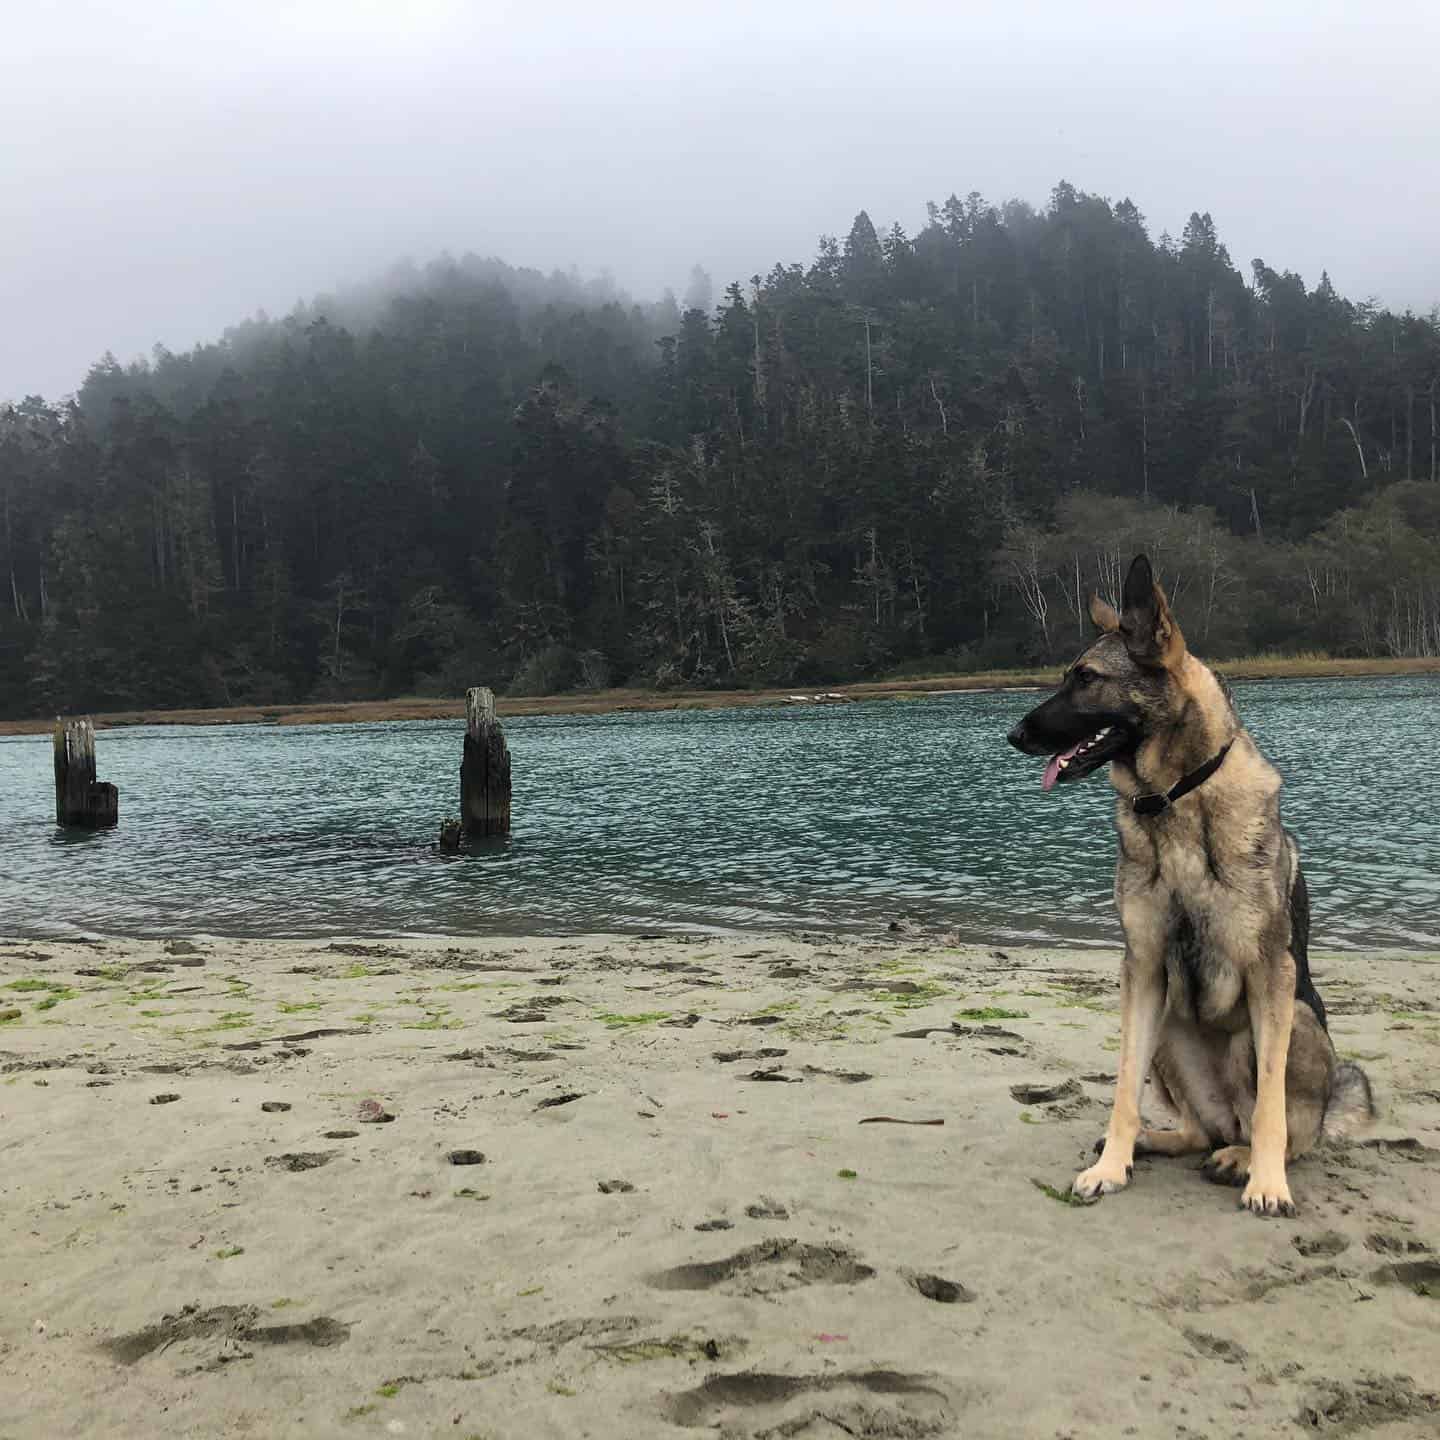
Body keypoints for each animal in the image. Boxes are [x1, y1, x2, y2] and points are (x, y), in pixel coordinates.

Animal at [1008, 555, 1365, 1209]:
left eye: (1086, 679)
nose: (1014, 737)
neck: (1173, 798)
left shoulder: (1270, 974)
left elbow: (1271, 1107)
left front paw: (1267, 1183)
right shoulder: (1143, 970)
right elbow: (1123, 1086)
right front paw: (1112, 1164)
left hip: (1284, 1027)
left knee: (1278, 1130)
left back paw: (1245, 1159)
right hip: (1170, 1027)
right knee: (1200, 1129)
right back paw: (1158, 1140)